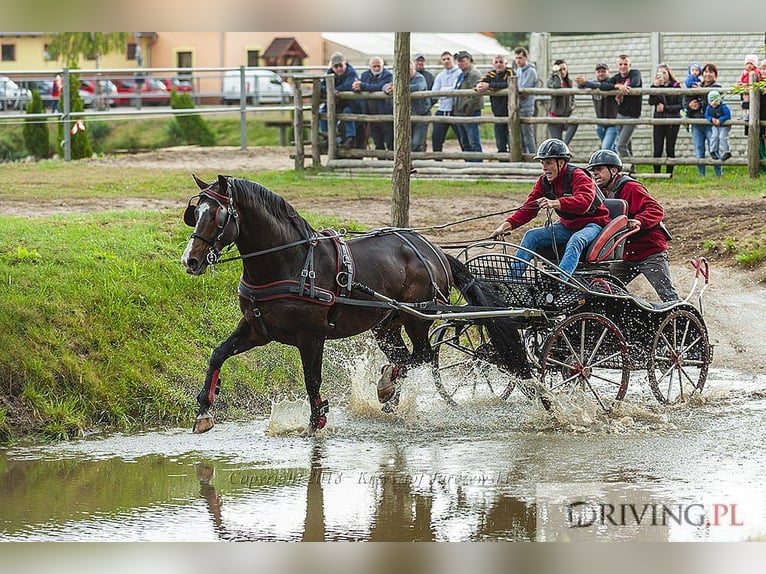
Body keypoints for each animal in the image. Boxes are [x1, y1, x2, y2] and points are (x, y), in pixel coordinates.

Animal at [181, 176, 532, 436]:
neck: (290, 261)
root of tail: (433, 250)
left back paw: (388, 384)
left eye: (218, 215)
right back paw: (390, 395)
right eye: (195, 213)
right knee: (404, 357)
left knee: (423, 355)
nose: (190, 260)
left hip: (418, 316)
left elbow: (312, 380)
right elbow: (218, 354)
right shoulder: (256, 329)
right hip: (386, 324)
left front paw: (316, 422)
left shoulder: (311, 337)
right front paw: (203, 411)